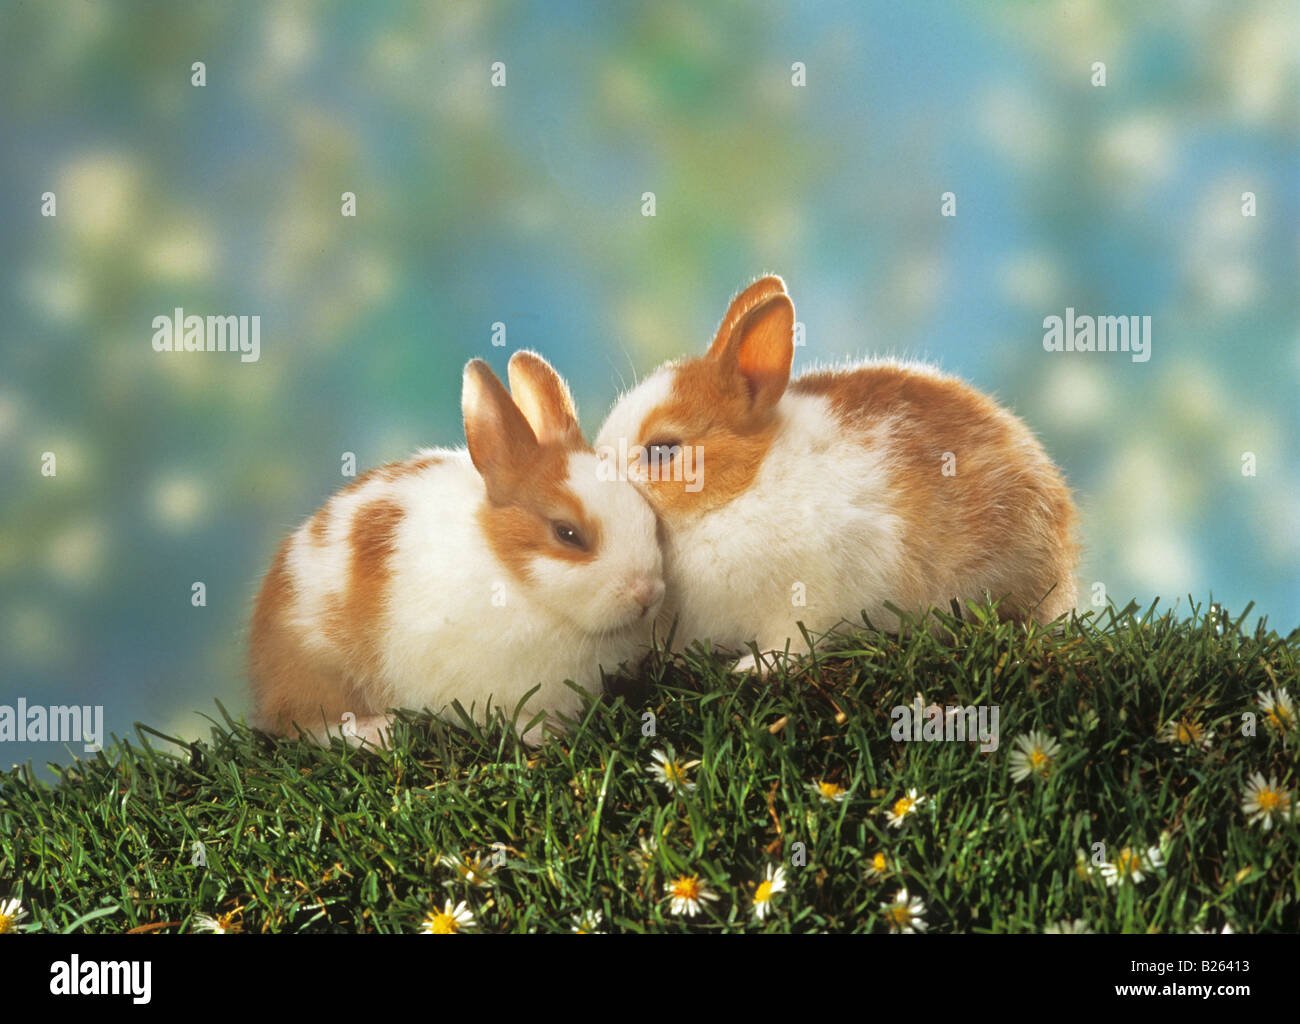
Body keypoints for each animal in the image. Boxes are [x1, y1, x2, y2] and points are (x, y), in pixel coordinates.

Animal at [248, 350, 666, 747]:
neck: (512, 577)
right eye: (568, 534)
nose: (648, 592)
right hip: (321, 670)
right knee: (303, 724)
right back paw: (378, 732)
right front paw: (544, 733)